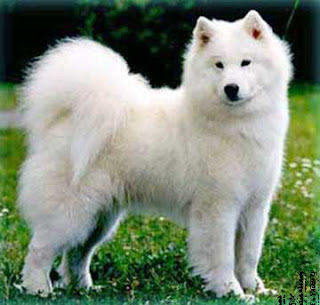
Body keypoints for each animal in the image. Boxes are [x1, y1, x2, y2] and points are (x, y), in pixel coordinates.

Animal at [18, 10, 292, 300]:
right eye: (219, 65)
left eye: (245, 63)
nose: (231, 87)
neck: (239, 125)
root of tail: (67, 116)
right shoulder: (219, 207)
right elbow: (223, 257)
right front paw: (231, 292)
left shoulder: (254, 208)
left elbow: (249, 255)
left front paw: (256, 289)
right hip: (71, 212)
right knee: (40, 249)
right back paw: (38, 289)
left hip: (100, 218)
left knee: (77, 254)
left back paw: (84, 288)